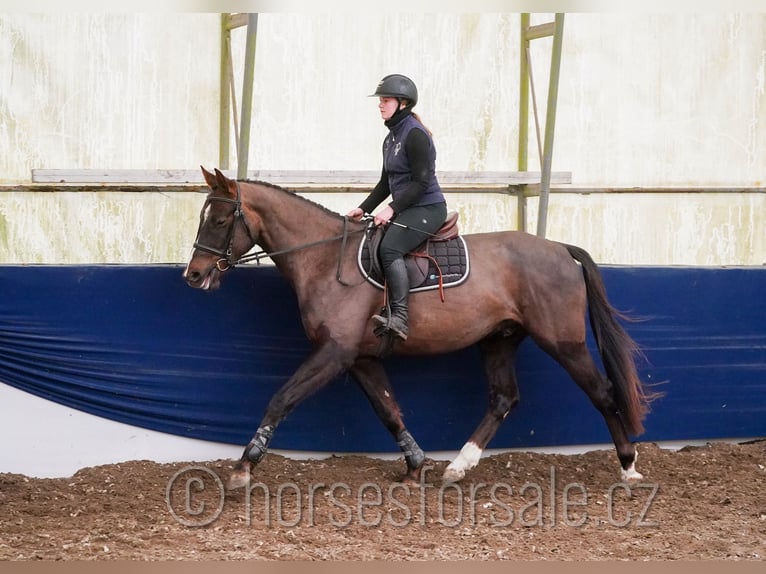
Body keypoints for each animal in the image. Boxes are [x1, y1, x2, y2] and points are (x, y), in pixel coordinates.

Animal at [183, 167, 658, 489]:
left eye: (220, 221)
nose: (194, 275)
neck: (325, 258)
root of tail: (559, 247)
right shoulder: (359, 357)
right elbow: (388, 410)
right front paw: (415, 466)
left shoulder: (334, 352)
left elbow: (282, 399)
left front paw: (244, 466)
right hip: (499, 340)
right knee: (503, 398)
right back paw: (458, 467)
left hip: (564, 342)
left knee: (602, 393)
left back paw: (629, 467)